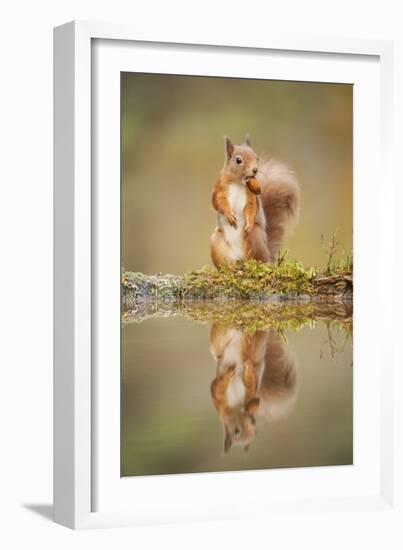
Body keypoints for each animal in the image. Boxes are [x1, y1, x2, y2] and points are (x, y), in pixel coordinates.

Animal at [211, 137, 300, 268]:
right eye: (238, 160)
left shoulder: (252, 197)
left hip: (255, 237)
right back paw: (232, 267)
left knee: (257, 259)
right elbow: (217, 202)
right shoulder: (219, 189)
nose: (255, 170)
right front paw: (229, 216)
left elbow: (252, 208)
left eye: (257, 158)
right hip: (217, 243)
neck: (238, 182)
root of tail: (267, 255)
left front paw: (249, 222)